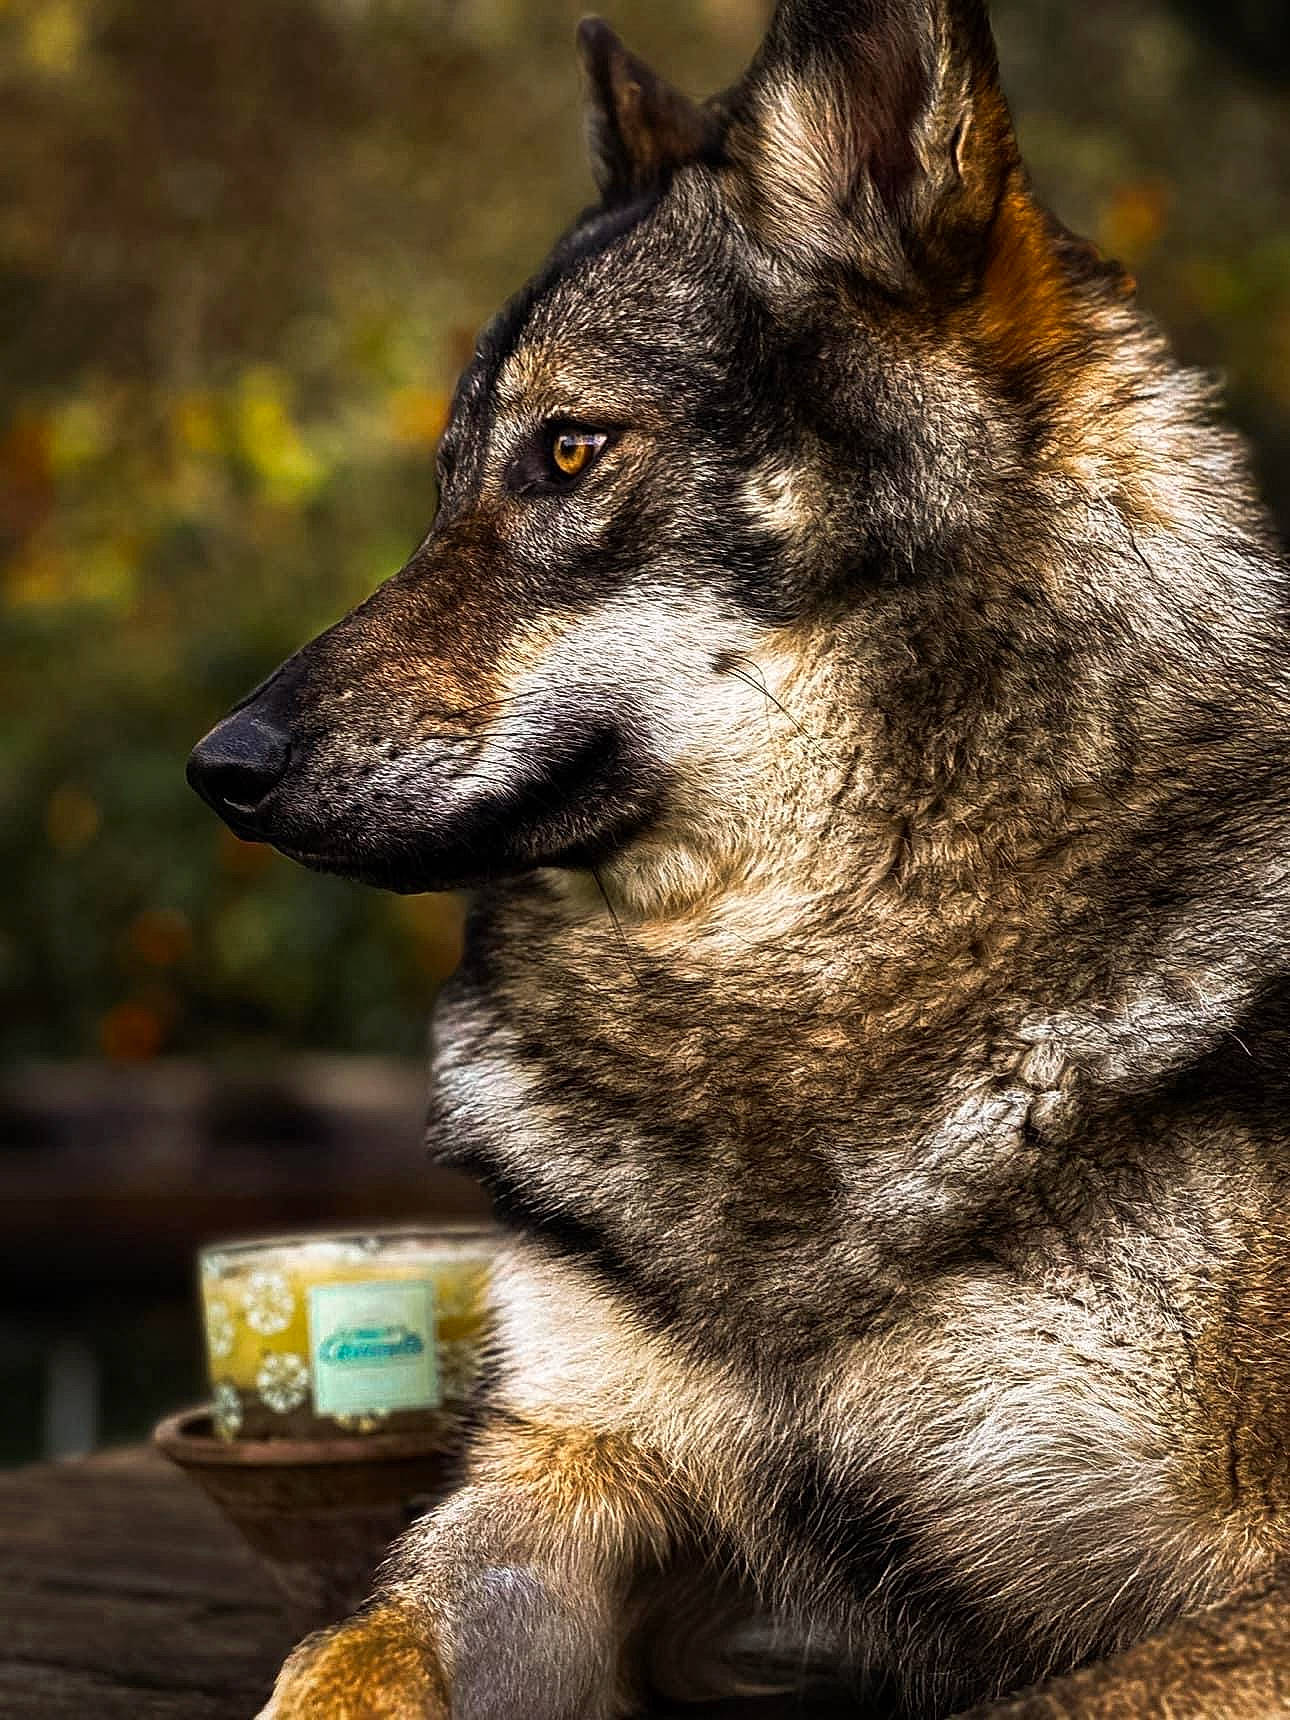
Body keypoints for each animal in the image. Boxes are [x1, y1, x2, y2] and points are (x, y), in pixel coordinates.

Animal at [187, 0, 1290, 1714]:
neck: (795, 978)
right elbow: (347, 1654)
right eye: (448, 482)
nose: (221, 768)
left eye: (572, 452)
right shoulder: (569, 1476)